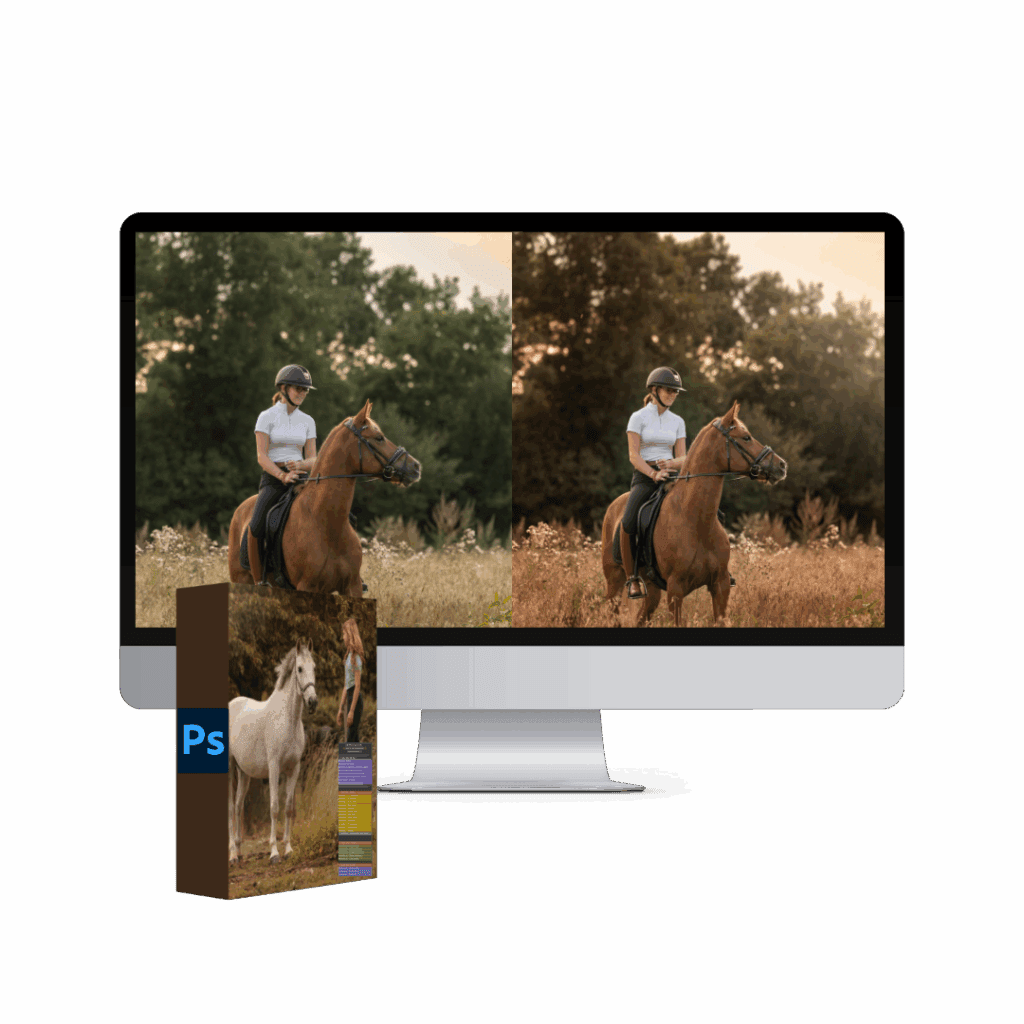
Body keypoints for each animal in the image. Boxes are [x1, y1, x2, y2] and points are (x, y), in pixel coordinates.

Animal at [228, 640, 318, 864]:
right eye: (299, 669)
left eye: (314, 668)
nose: (313, 702)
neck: (287, 719)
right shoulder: (274, 768)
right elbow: (274, 807)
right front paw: (274, 852)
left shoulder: (294, 769)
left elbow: (288, 808)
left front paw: (288, 849)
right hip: (230, 768)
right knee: (231, 807)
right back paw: (232, 855)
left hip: (244, 773)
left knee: (239, 805)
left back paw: (239, 851)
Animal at [601, 401, 788, 626]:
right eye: (746, 437)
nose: (781, 465)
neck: (696, 520)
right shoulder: (675, 590)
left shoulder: (720, 585)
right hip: (614, 582)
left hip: (652, 591)